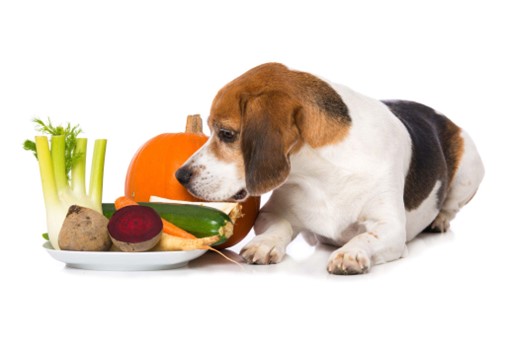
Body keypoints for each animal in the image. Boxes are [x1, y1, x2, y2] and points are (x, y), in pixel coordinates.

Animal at [176, 62, 484, 272]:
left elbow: (367, 236)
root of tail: (435, 112)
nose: (180, 175)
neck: (322, 173)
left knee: (451, 205)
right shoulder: (271, 213)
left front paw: (351, 252)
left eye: (226, 134)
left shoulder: (391, 228)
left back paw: (440, 220)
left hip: (470, 168)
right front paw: (265, 244)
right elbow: (278, 226)